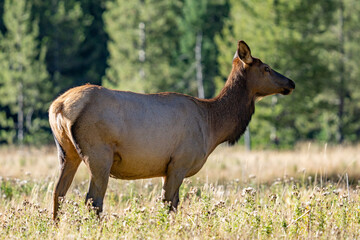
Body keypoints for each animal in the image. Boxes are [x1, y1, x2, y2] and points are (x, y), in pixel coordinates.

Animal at [48, 40, 296, 219]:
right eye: (267, 68)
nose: (291, 82)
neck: (213, 125)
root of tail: (58, 106)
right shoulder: (179, 162)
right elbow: (169, 205)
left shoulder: (168, 168)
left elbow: (173, 204)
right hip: (99, 154)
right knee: (93, 200)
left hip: (67, 153)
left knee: (58, 192)